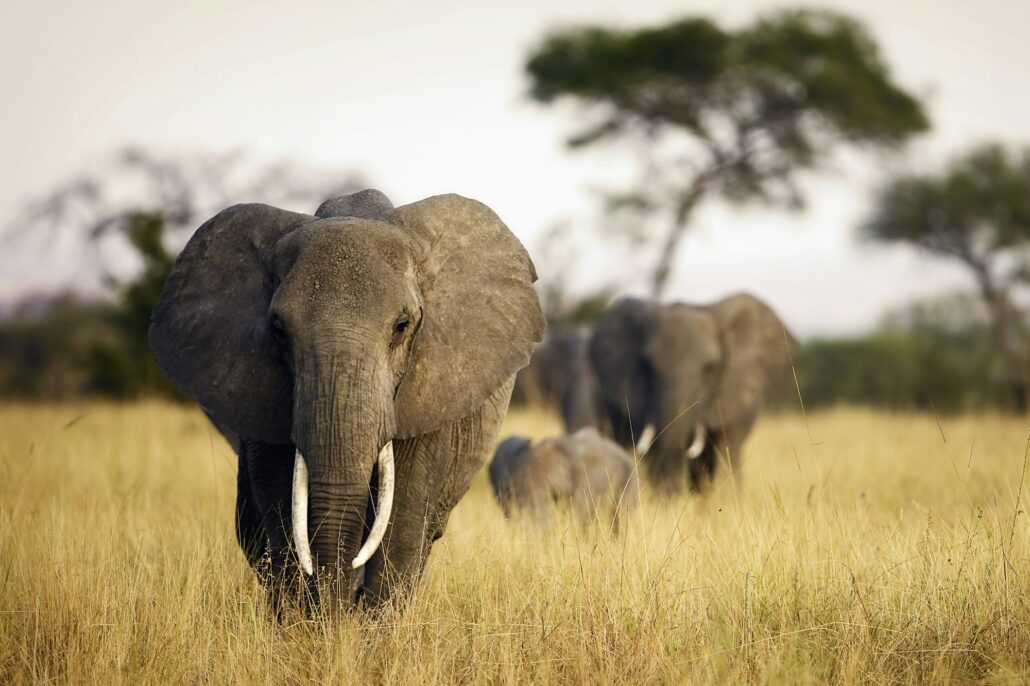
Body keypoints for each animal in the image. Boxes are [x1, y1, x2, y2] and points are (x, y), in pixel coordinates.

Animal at [149, 188, 547, 609]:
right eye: (278, 329)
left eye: (402, 326)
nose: (337, 610)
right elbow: (281, 507)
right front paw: (308, 623)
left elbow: (403, 519)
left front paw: (367, 625)